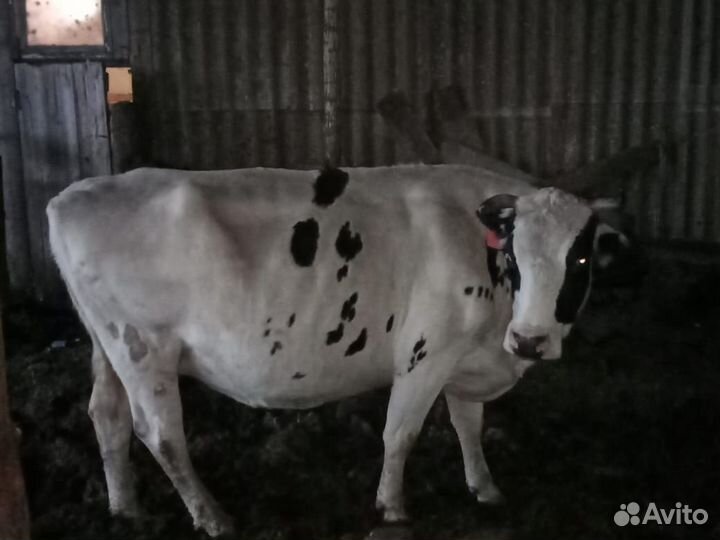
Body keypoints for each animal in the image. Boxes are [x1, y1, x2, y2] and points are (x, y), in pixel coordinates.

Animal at [47, 164, 619, 537]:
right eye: (516, 256)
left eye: (580, 259)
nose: (530, 339)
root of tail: (72, 196)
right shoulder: (426, 353)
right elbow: (400, 434)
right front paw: (392, 508)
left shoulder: (466, 357)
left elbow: (468, 426)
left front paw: (485, 488)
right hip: (143, 346)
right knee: (160, 434)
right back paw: (212, 517)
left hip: (108, 344)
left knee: (107, 416)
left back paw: (125, 509)